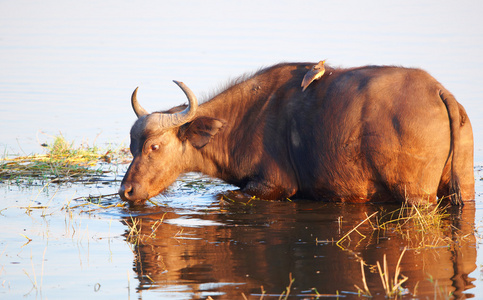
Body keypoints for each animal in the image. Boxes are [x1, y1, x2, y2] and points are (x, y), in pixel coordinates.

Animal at [119, 62, 474, 205]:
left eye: (153, 146)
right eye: (132, 147)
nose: (127, 191)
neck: (243, 120)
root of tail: (439, 91)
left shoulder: (273, 186)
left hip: (416, 196)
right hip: (462, 187)